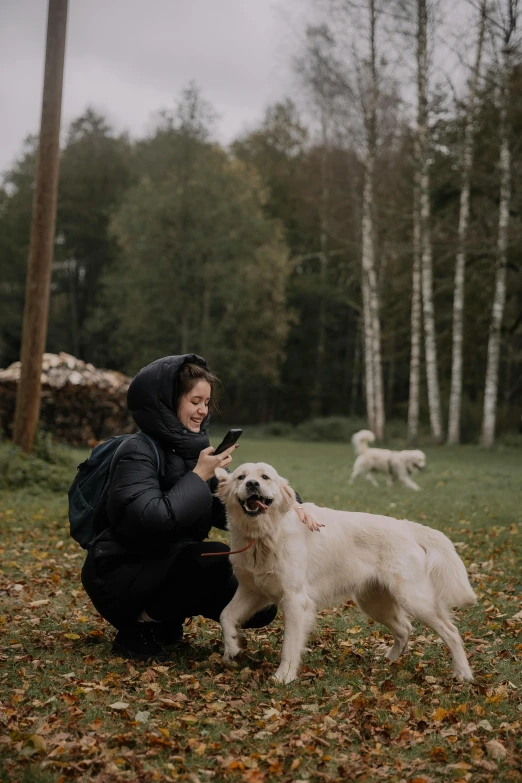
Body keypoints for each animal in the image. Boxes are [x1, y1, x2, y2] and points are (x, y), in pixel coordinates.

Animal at [213, 466, 474, 688]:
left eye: (265, 477)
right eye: (240, 477)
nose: (252, 484)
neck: (263, 535)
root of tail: (406, 526)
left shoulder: (295, 601)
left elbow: (289, 644)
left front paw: (284, 676)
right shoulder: (253, 592)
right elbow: (226, 615)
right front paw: (232, 648)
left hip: (414, 599)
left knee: (451, 632)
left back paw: (463, 673)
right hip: (374, 602)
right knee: (404, 628)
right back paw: (389, 659)